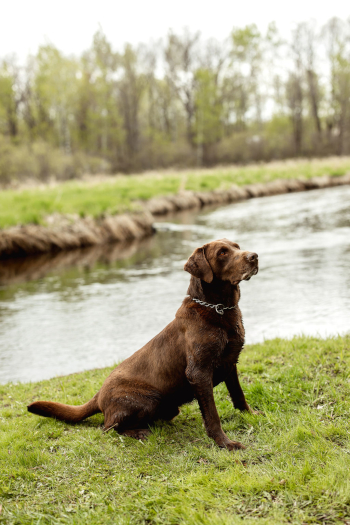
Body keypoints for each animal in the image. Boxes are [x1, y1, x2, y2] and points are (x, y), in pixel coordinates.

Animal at [28, 239, 260, 448]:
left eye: (237, 247)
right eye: (222, 253)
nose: (254, 256)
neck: (217, 309)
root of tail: (99, 395)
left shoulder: (230, 362)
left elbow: (238, 395)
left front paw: (251, 415)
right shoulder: (199, 372)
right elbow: (212, 415)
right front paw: (225, 443)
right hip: (149, 398)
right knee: (107, 427)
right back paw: (140, 433)